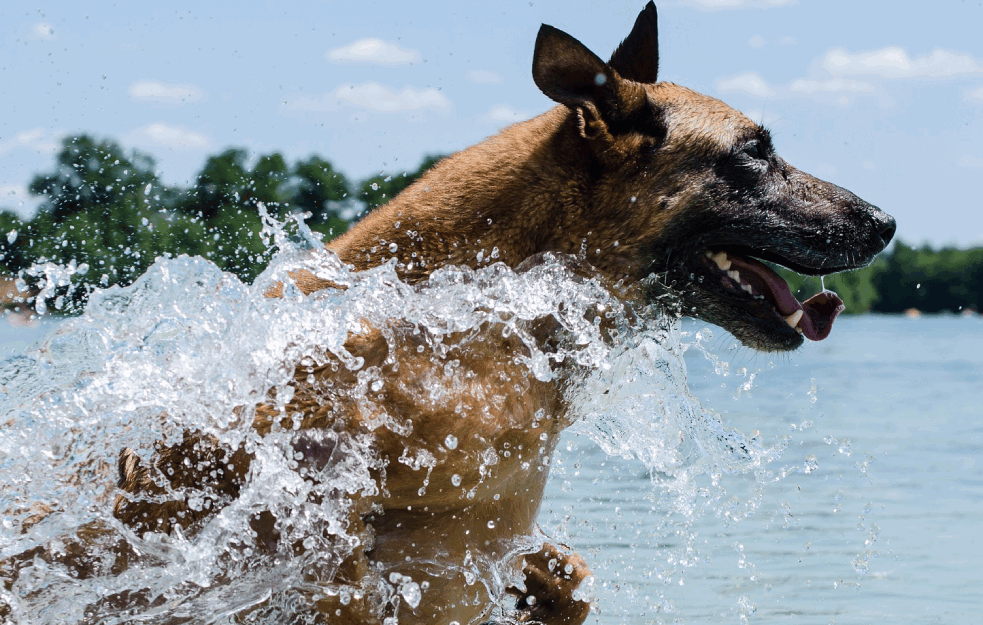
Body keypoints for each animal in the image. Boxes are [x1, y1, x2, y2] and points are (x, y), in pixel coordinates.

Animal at [1, 2, 892, 620]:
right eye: (754, 151)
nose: (885, 221)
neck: (477, 314)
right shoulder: (288, 521)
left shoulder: (482, 541)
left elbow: (566, 578)